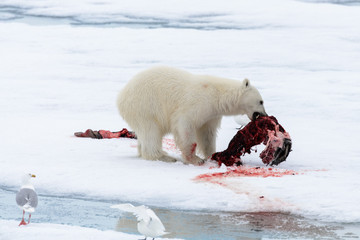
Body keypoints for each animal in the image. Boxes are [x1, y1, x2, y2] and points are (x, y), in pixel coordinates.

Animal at [116, 66, 266, 166]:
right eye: (261, 101)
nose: (264, 114)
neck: (217, 94)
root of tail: (122, 96)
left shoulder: (211, 114)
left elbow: (207, 134)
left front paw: (212, 154)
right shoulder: (195, 104)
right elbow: (185, 126)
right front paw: (195, 159)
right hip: (146, 106)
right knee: (151, 131)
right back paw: (164, 156)